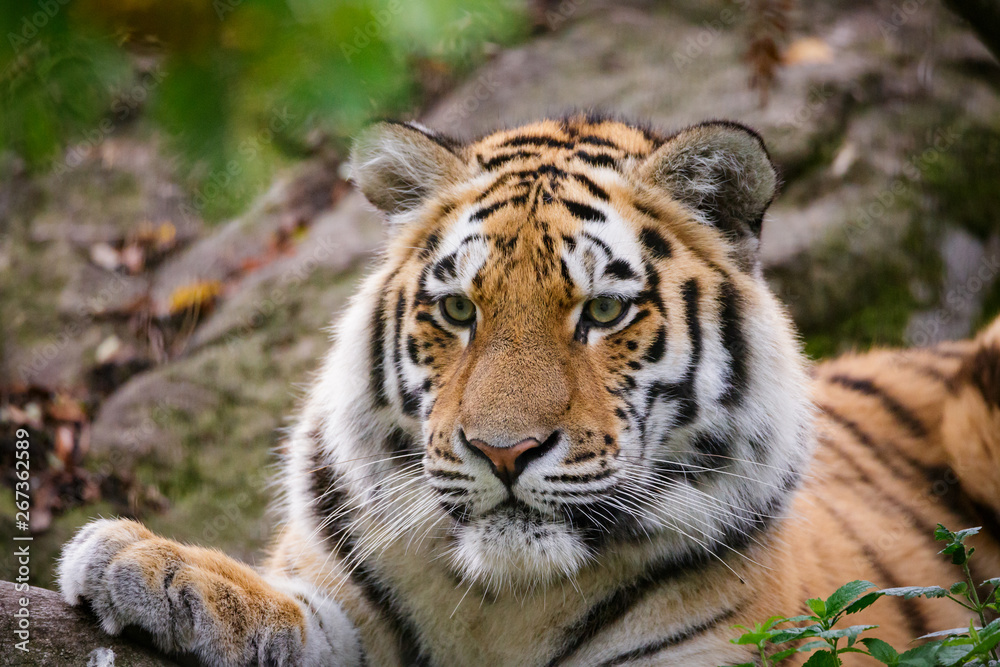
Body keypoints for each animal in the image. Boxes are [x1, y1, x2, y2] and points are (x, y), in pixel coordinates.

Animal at [56, 117, 1000, 664]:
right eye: (458, 309)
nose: (503, 451)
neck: (502, 601)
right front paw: (150, 564)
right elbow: (297, 608)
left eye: (605, 310)